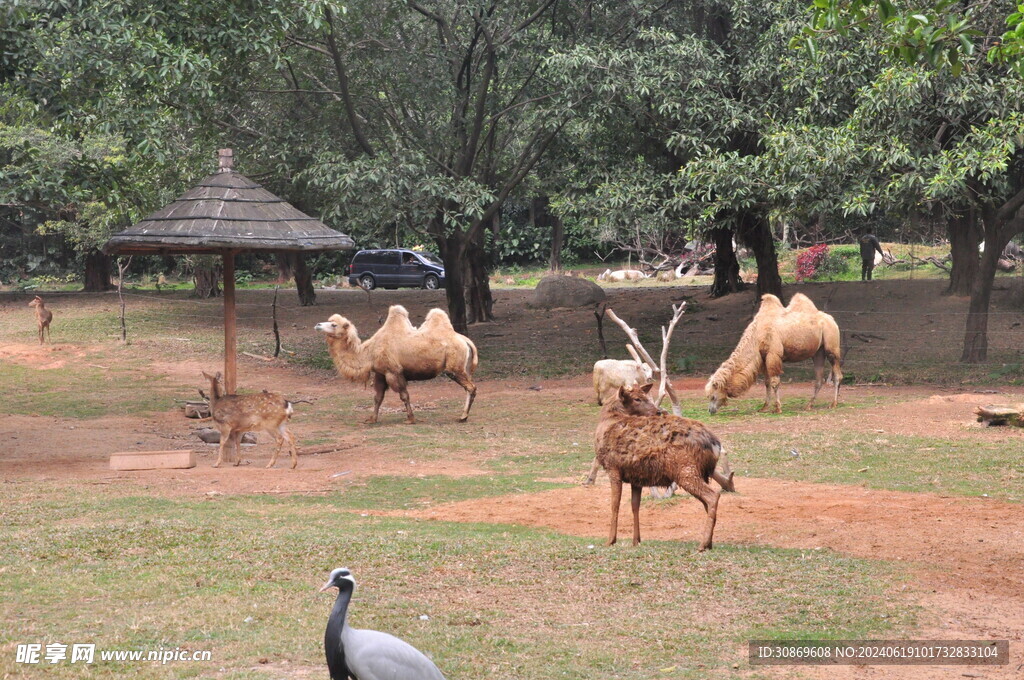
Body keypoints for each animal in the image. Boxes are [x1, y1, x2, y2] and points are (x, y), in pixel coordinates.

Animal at [313, 305, 477, 421]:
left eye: (334, 325)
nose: (318, 325)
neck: (369, 352)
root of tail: (465, 340)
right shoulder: (380, 373)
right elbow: (378, 397)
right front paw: (372, 419)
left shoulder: (393, 371)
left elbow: (404, 395)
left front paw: (411, 419)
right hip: (465, 368)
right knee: (469, 386)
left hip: (454, 367)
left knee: (471, 387)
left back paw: (463, 417)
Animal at [593, 383, 729, 553]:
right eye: (637, 398)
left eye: (645, 396)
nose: (658, 411)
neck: (606, 424)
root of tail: (715, 444)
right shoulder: (636, 477)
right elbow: (635, 506)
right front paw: (636, 540)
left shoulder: (613, 467)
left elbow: (614, 505)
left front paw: (610, 540)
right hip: (699, 472)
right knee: (706, 501)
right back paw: (709, 543)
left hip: (686, 470)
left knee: (712, 496)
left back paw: (702, 544)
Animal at [704, 292, 839, 413]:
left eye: (713, 396)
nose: (710, 410)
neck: (756, 335)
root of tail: (832, 319)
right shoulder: (763, 359)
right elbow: (767, 382)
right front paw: (764, 407)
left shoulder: (773, 354)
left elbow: (775, 382)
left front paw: (778, 408)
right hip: (818, 352)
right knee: (819, 379)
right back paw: (808, 405)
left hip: (831, 345)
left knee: (837, 373)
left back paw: (833, 404)